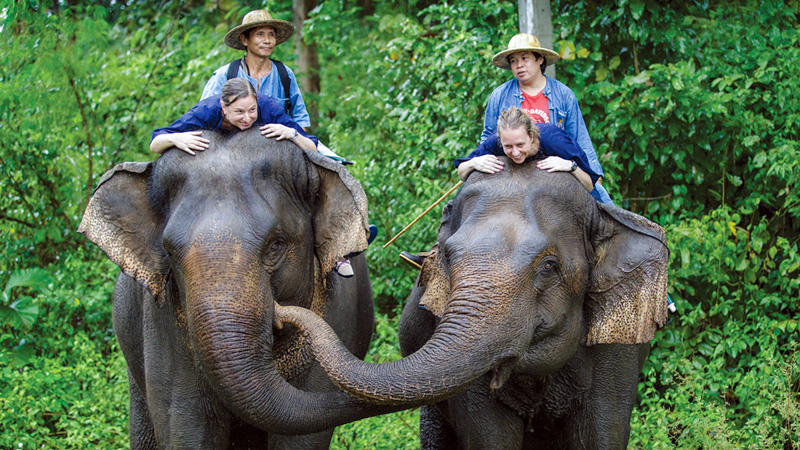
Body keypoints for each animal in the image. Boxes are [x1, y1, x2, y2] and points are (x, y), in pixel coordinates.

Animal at [76, 127, 396, 450]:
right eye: (169, 252)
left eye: (276, 245)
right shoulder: (161, 326)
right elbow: (186, 430)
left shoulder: (338, 309)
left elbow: (302, 437)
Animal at [276, 156, 668, 450]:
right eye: (448, 257)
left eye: (549, 266)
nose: (279, 313)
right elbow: (487, 435)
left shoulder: (618, 351)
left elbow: (601, 432)